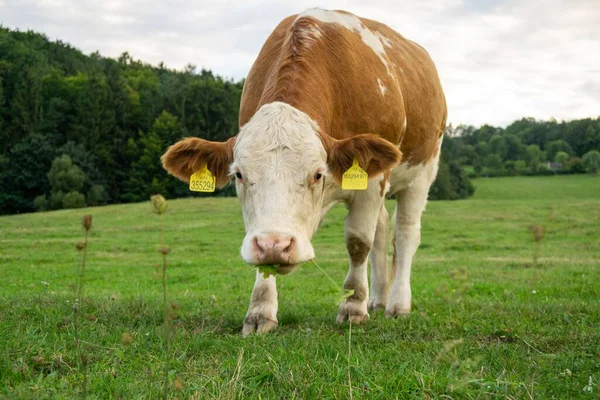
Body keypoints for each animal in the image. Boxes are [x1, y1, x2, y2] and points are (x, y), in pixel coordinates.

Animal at [162, 8, 448, 334]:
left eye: (317, 174)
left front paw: (353, 306)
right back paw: (377, 298)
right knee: (383, 229)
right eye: (239, 175)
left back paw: (397, 303)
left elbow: (358, 242)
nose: (275, 245)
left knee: (405, 234)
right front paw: (260, 310)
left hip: (422, 172)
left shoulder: (372, 180)